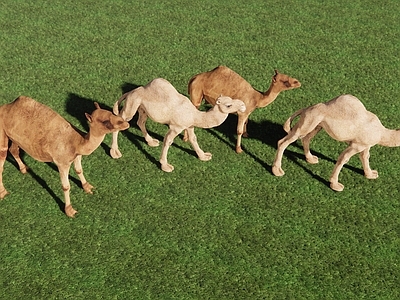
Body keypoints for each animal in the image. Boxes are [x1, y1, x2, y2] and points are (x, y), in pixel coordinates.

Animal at [0, 97, 129, 217]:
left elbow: (79, 170)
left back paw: (24, 169)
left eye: (111, 113)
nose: (126, 123)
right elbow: (66, 186)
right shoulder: (62, 163)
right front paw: (69, 210)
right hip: (2, 133)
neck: (78, 142)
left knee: (14, 150)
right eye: (106, 122)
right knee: (3, 157)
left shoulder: (77, 156)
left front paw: (88, 187)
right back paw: (3, 192)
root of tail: (5, 106)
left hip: (14, 137)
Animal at [110, 78, 247, 171]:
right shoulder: (176, 127)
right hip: (132, 103)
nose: (243, 105)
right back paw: (115, 152)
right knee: (122, 119)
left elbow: (193, 139)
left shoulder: (189, 125)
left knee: (140, 122)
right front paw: (165, 166)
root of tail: (131, 91)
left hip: (142, 108)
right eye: (228, 105)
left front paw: (204, 156)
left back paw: (151, 141)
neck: (195, 114)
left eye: (231, 98)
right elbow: (168, 141)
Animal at [270, 94, 398, 191]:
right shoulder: (356, 145)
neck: (382, 133)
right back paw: (277, 171)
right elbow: (343, 159)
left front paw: (371, 175)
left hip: (317, 125)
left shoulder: (366, 145)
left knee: (306, 139)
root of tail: (306, 108)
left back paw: (311, 159)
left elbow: (365, 157)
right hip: (308, 121)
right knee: (284, 141)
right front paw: (335, 185)